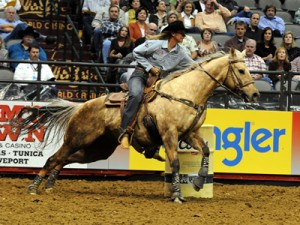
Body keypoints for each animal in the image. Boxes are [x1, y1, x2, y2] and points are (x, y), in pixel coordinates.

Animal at [13, 49, 258, 204]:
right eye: (242, 71)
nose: (255, 94)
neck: (186, 93)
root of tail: (81, 106)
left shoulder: (189, 134)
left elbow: (206, 150)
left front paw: (198, 181)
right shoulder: (169, 134)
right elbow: (176, 163)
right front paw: (177, 195)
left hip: (98, 149)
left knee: (64, 159)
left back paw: (50, 184)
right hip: (76, 138)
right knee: (53, 157)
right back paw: (34, 187)